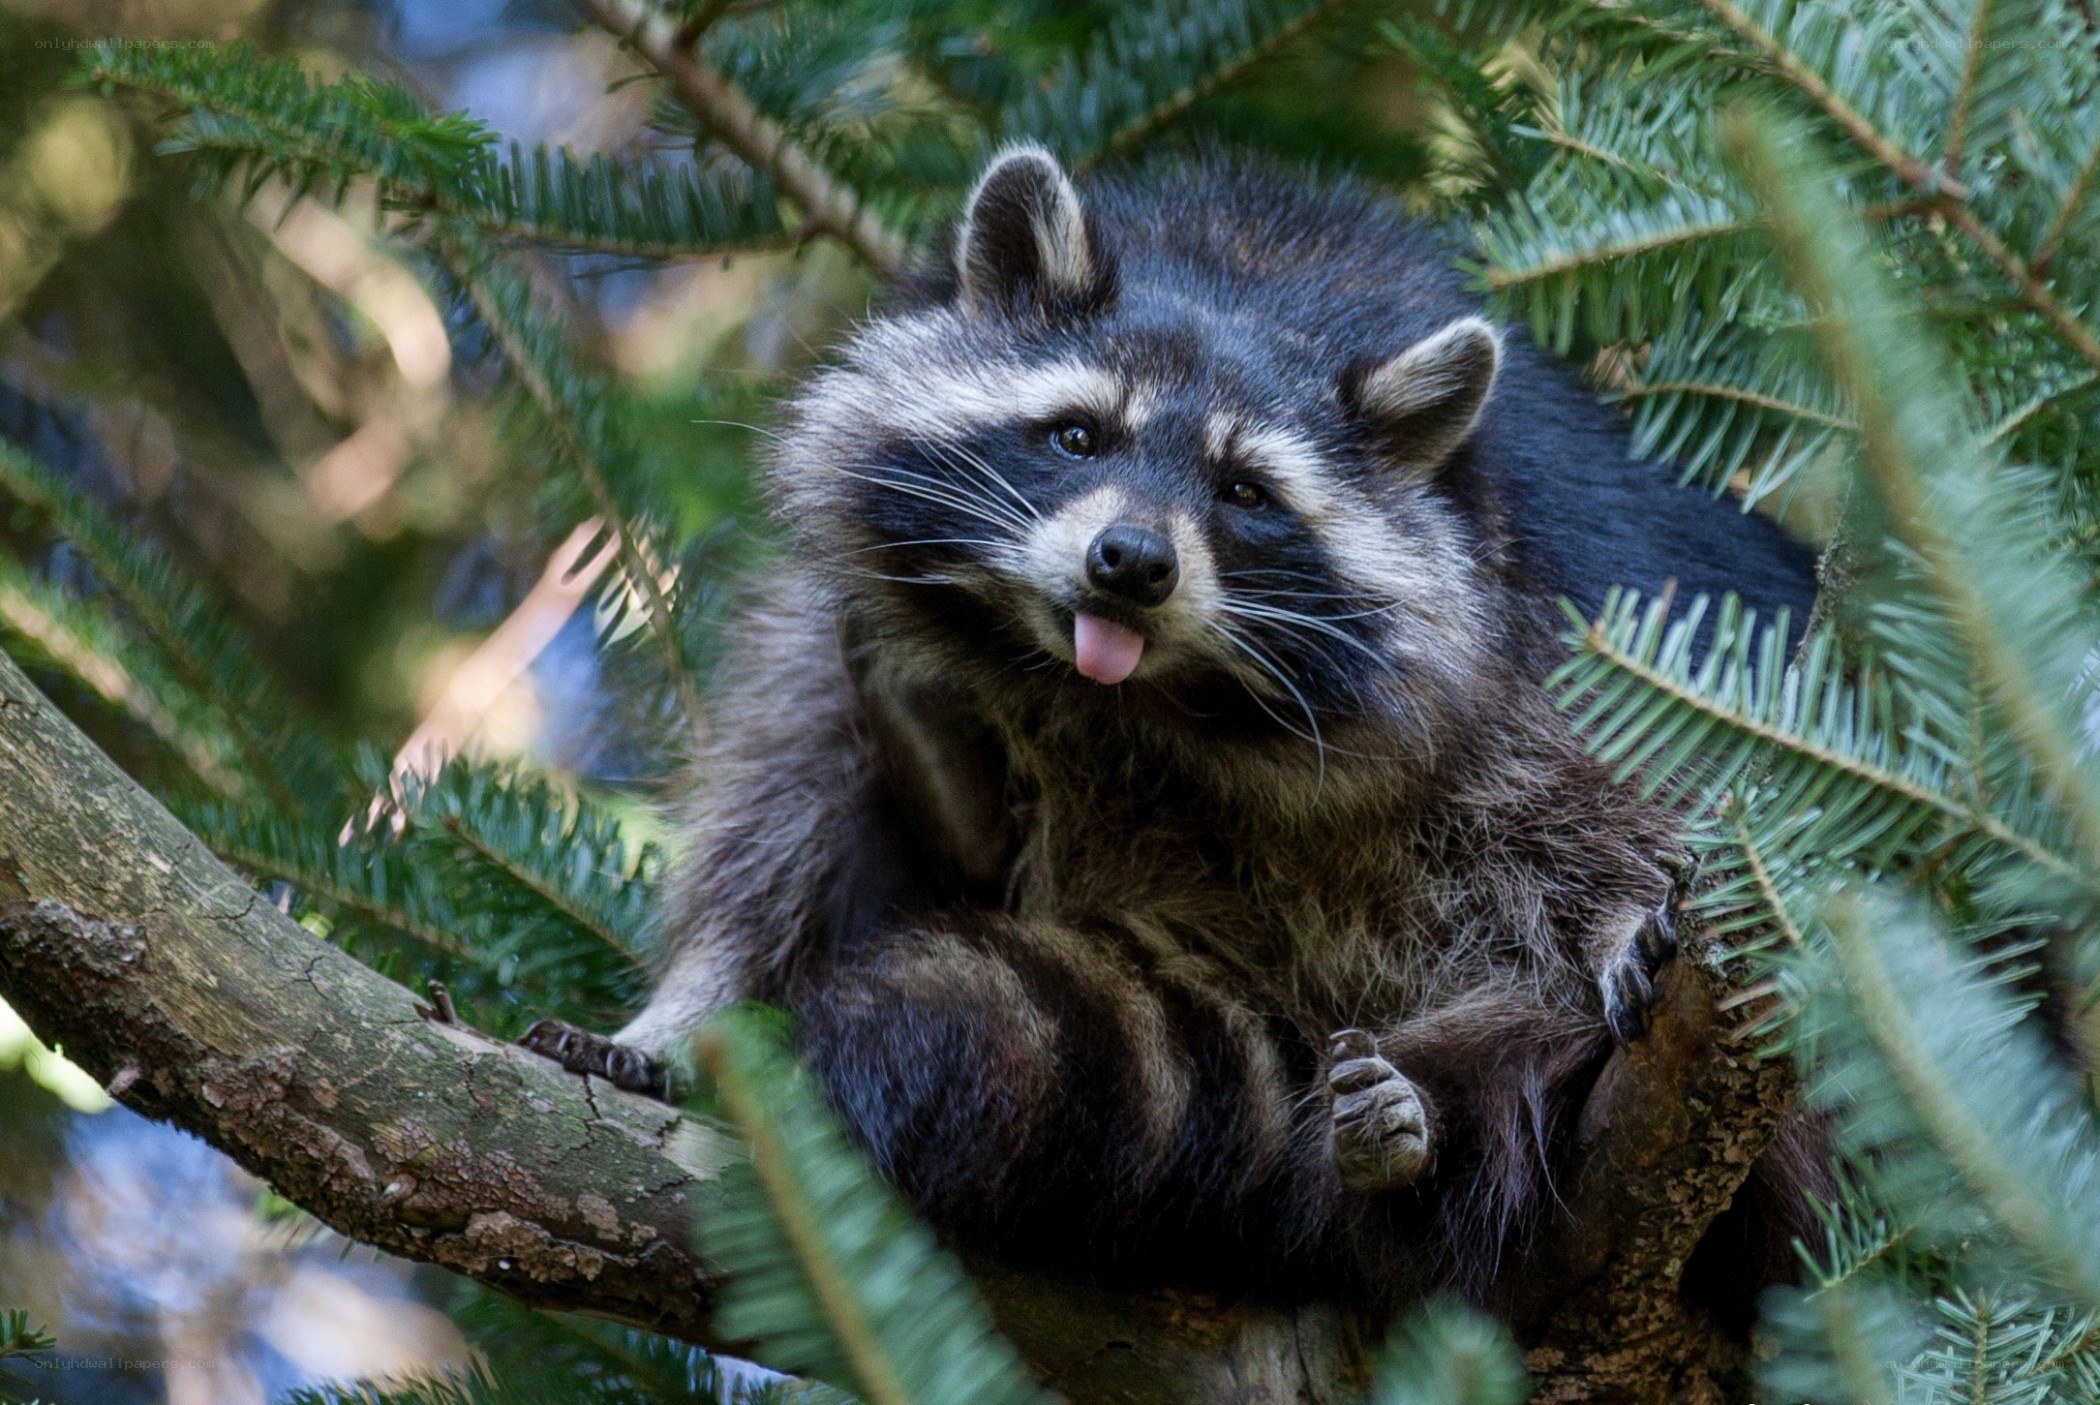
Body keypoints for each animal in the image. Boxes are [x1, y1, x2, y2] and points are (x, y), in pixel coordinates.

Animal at [522, 148, 1821, 1303]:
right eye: (1078, 434)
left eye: (1246, 492)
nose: (1132, 562)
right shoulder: (849, 616)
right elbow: (783, 808)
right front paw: (690, 1006)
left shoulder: (1541, 630)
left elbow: (1602, 801)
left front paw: (1615, 918)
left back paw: (1420, 1124)